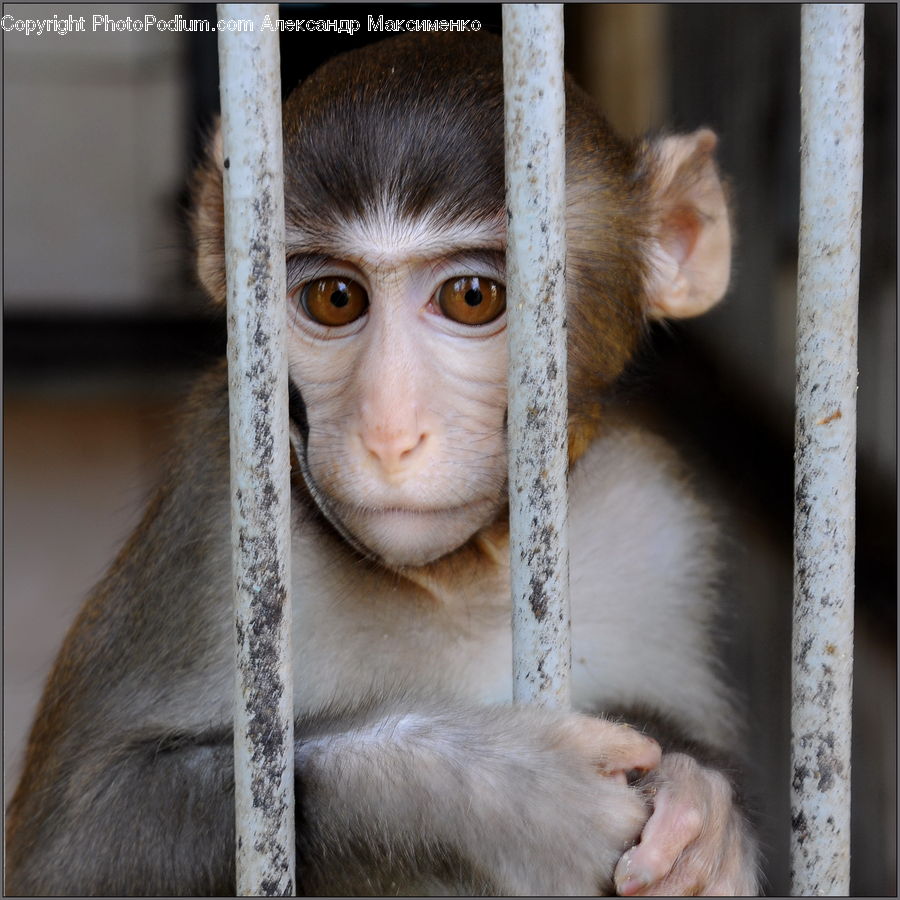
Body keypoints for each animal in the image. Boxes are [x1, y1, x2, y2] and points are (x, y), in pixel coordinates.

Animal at [5, 32, 760, 896]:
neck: (458, 578)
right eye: (335, 299)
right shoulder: (211, 522)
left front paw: (700, 805)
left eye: (472, 297)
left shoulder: (660, 520)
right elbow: (77, 842)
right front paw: (500, 788)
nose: (389, 433)